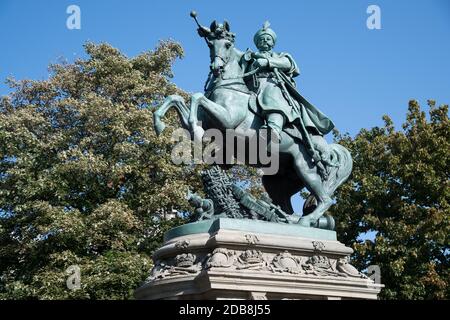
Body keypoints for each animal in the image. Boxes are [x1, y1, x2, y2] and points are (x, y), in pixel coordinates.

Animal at [153, 21, 354, 226]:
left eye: (227, 44)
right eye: (210, 44)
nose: (216, 67)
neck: (231, 86)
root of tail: (328, 151)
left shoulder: (227, 118)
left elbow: (197, 97)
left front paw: (196, 130)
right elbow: (176, 98)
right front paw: (159, 123)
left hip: (305, 168)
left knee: (325, 199)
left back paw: (304, 221)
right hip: (277, 182)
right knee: (286, 205)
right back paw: (285, 218)